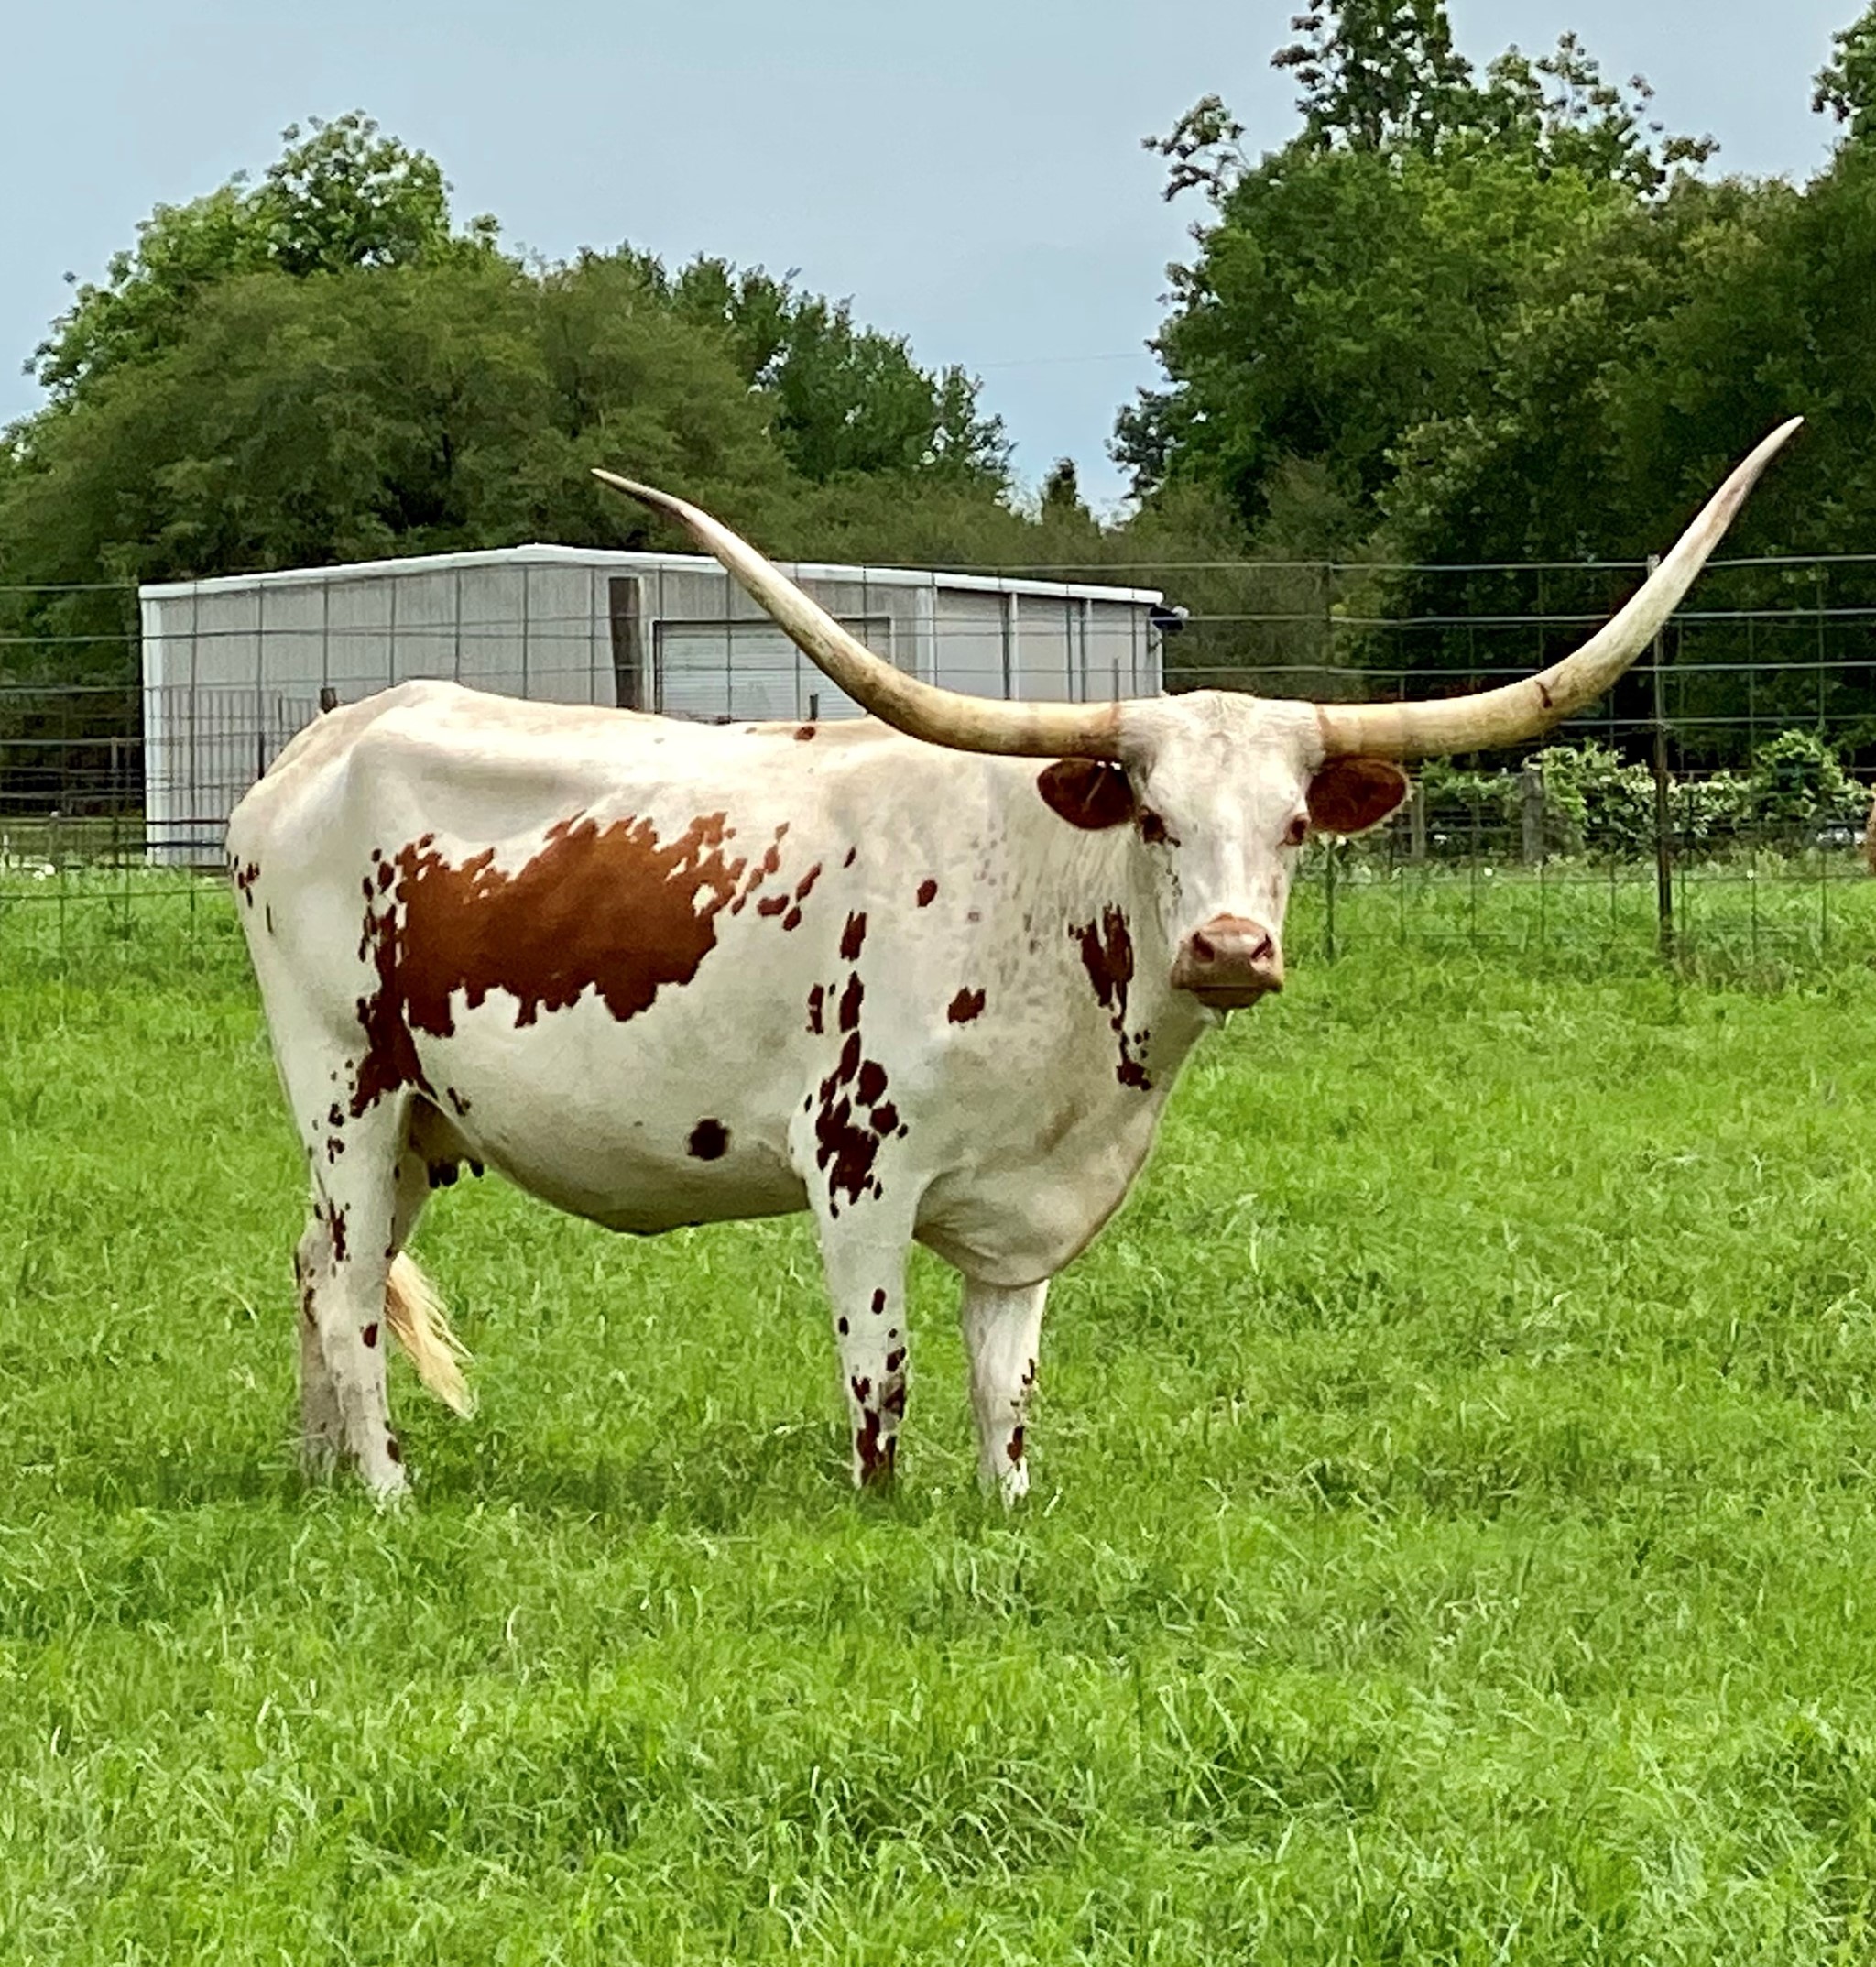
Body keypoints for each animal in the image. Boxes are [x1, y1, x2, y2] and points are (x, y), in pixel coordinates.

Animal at [226, 420, 1799, 1504]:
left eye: (1295, 824)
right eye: (1156, 817)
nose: (1233, 945)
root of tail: (319, 741)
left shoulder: (1030, 1214)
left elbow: (1006, 1385)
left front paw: (1006, 1504)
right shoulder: (856, 1168)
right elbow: (883, 1379)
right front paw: (878, 1510)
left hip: (421, 1124)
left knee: (315, 1269)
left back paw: (318, 1473)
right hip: (347, 1092)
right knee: (351, 1288)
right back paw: (385, 1484)